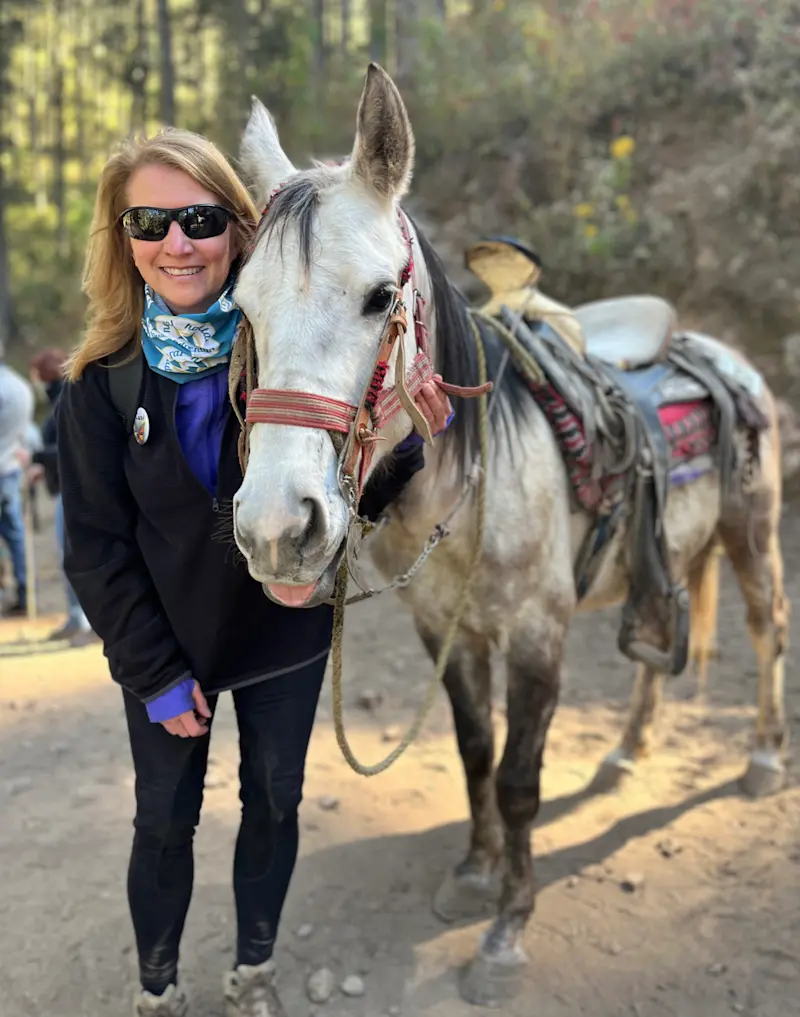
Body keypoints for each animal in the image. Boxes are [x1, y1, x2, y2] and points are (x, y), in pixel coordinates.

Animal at [230, 63, 790, 1006]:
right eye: (241, 307)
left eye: (380, 297)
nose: (276, 528)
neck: (464, 487)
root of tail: (719, 350)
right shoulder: (446, 633)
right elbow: (474, 753)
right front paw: (474, 871)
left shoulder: (534, 636)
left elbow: (521, 779)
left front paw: (506, 930)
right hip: (670, 553)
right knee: (657, 641)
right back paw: (626, 752)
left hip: (753, 535)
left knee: (764, 627)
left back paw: (762, 756)